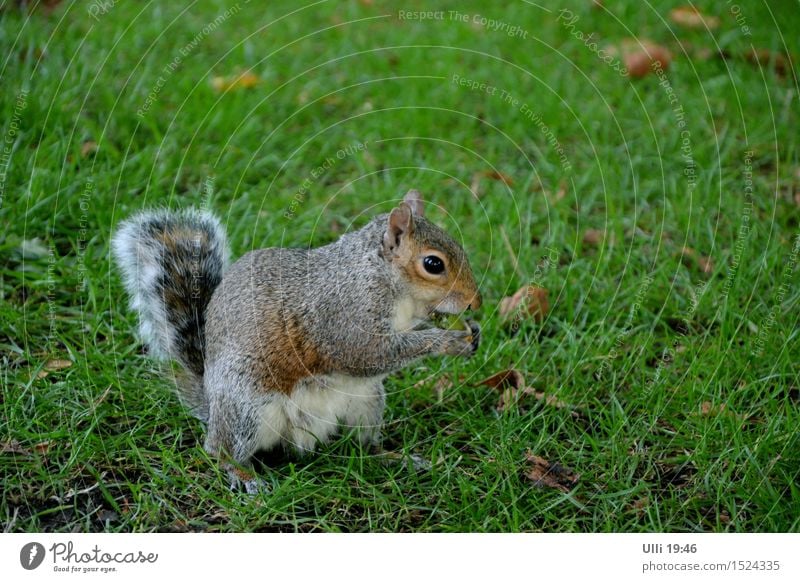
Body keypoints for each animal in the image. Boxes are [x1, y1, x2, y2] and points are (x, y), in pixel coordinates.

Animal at [111, 190, 482, 492]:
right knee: (219, 450)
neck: (384, 278)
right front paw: (449, 340)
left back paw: (394, 457)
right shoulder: (344, 318)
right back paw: (243, 476)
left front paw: (470, 331)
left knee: (364, 444)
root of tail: (211, 402)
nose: (475, 303)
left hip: (367, 401)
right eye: (433, 264)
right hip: (246, 406)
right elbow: (368, 354)